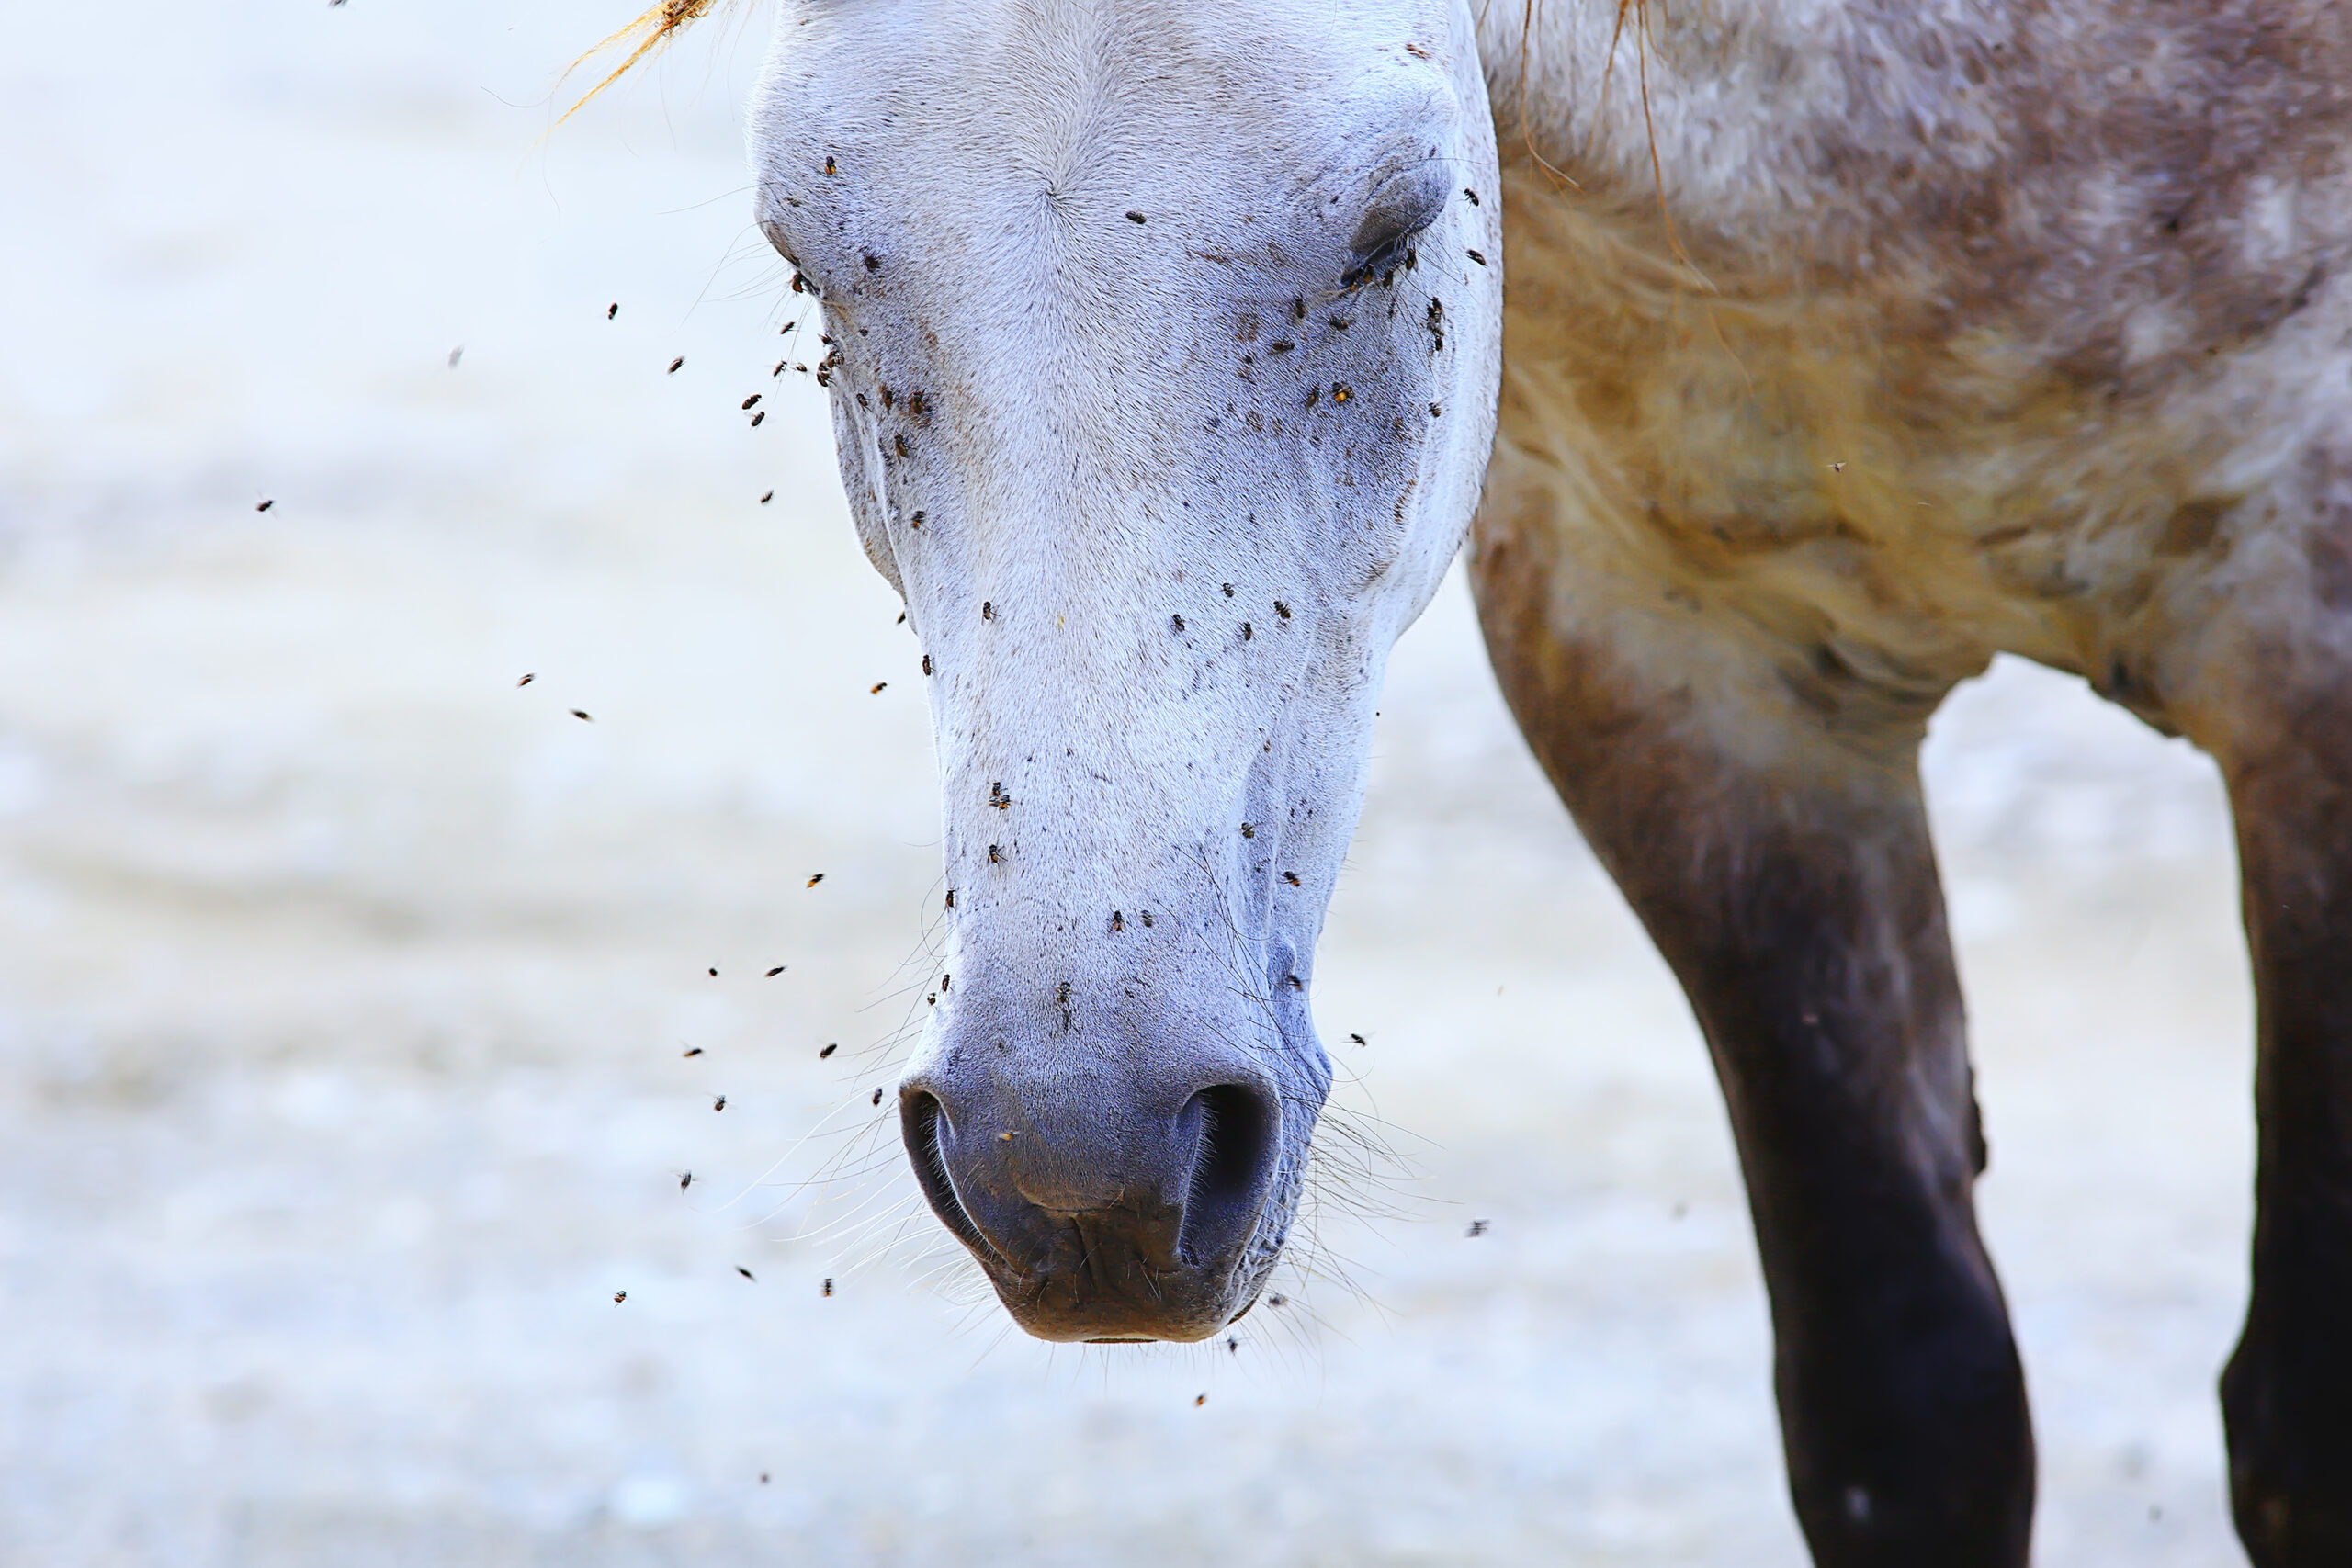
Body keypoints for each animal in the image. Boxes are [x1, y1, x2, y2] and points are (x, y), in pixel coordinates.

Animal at [597, 6, 2342, 1561]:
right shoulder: (1676, 680)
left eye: (1396, 225)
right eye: (809, 262)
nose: (1079, 1166)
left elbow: (2294, 1442)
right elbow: (1906, 1423)